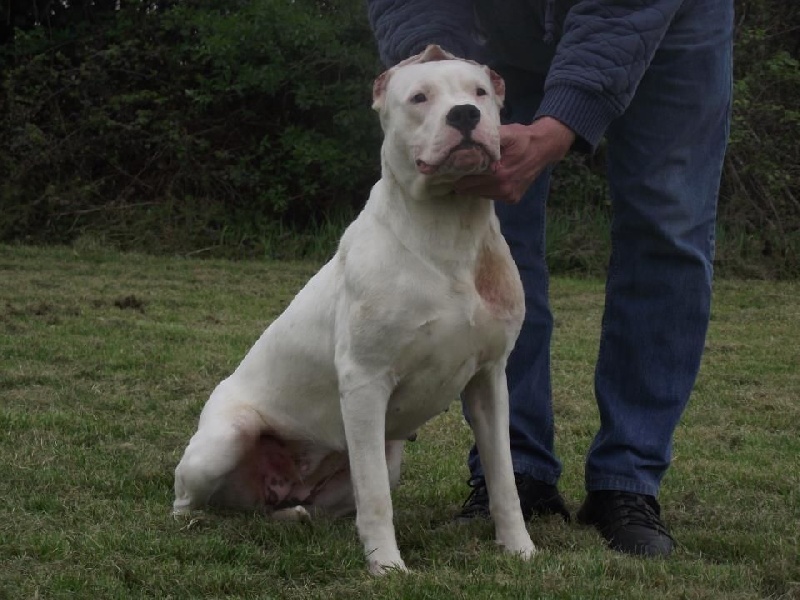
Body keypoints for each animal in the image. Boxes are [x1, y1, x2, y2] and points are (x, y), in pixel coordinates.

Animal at [175, 44, 536, 576]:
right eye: (419, 97)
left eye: (480, 92)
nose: (465, 115)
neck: (447, 229)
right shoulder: (365, 382)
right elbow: (376, 500)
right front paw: (387, 568)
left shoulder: (489, 380)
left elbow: (504, 479)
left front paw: (520, 549)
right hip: (225, 441)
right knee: (189, 498)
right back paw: (193, 520)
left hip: (384, 459)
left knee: (281, 509)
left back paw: (294, 515)